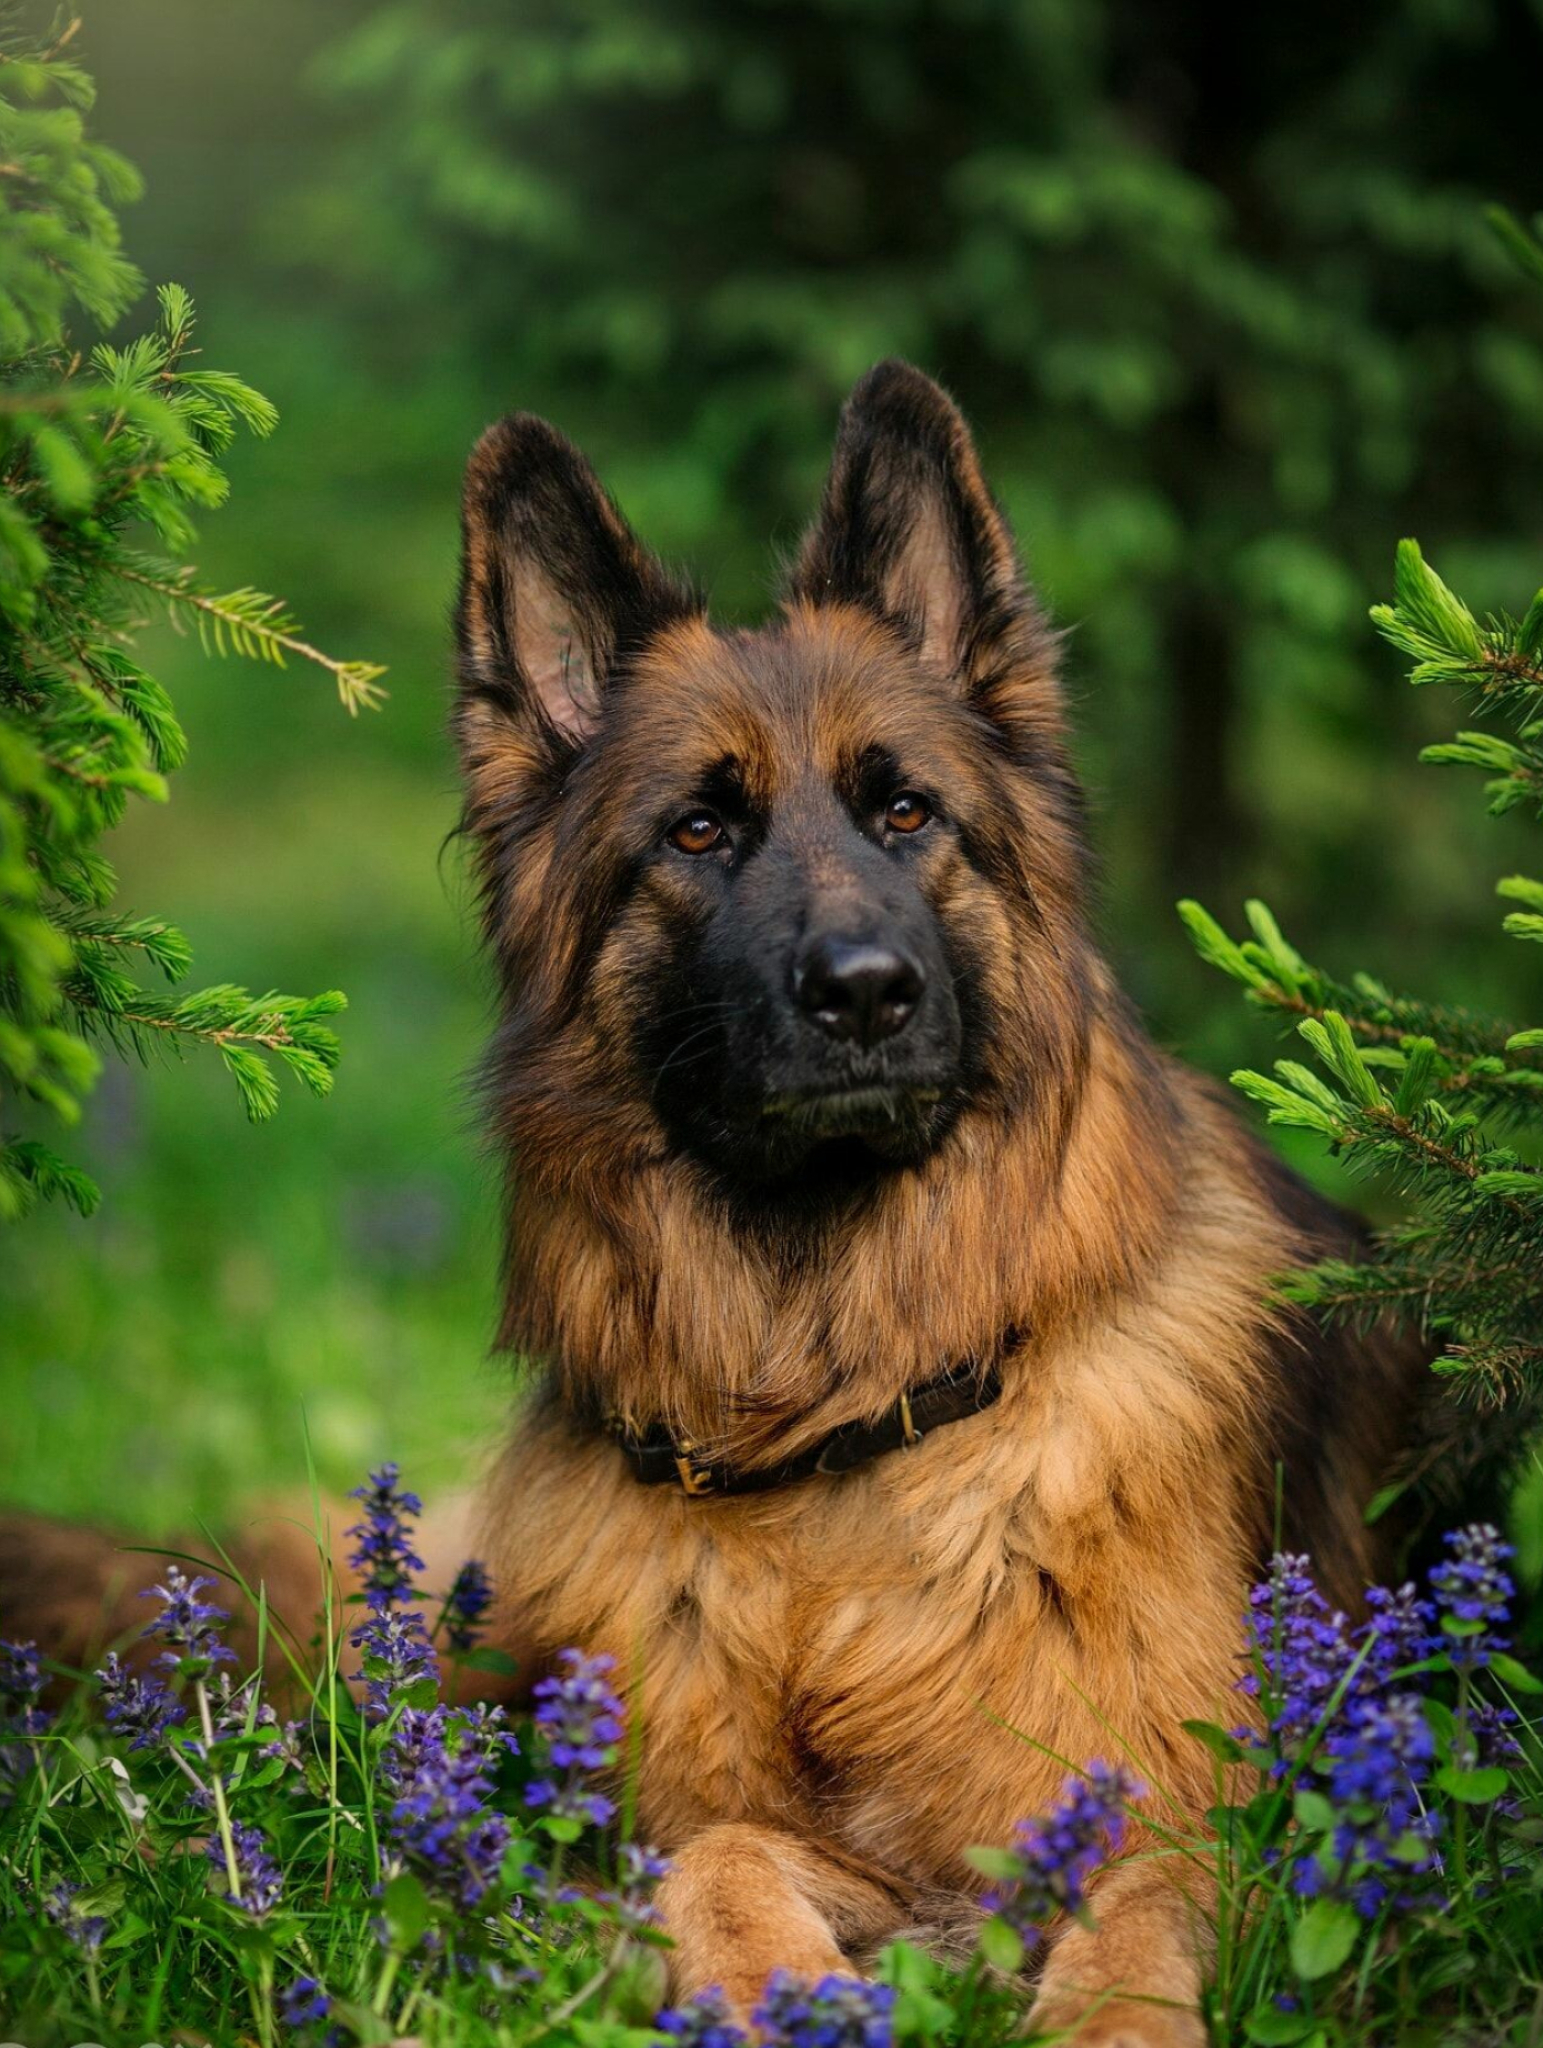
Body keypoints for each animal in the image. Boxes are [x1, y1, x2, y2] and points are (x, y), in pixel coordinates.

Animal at [0, 368, 1426, 2048]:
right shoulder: (671, 1813)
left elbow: (1132, 1931)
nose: (865, 993)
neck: (832, 1426)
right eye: (695, 833)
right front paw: (775, 1990)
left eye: (905, 813)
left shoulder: (1186, 1813)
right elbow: (719, 1858)